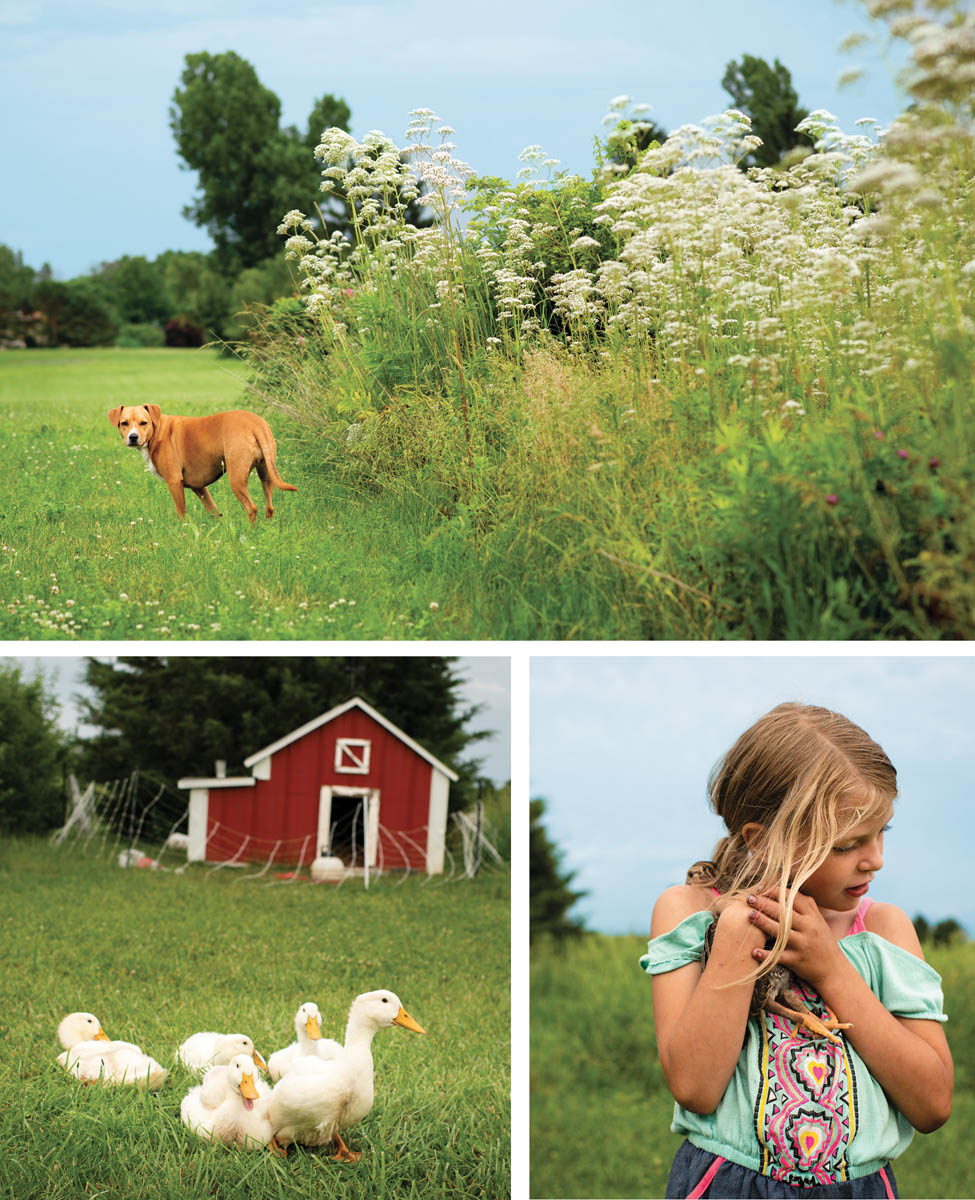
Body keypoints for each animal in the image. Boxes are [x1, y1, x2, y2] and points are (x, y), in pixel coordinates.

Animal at [108, 405, 295, 523]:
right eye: (124, 423)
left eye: (143, 423)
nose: (133, 437)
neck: (157, 430)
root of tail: (255, 423)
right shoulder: (199, 487)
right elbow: (214, 511)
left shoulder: (175, 482)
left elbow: (181, 512)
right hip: (266, 475)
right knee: (269, 507)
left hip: (236, 479)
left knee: (251, 508)